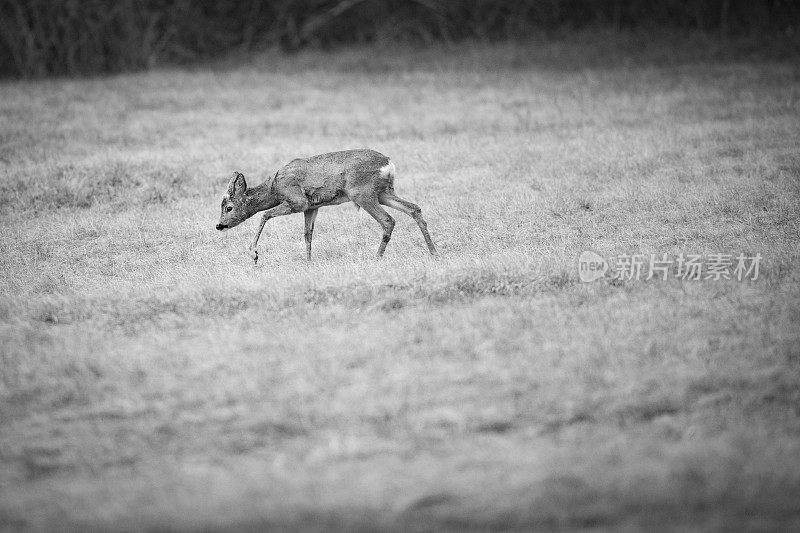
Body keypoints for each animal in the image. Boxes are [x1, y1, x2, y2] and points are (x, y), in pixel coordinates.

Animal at [214, 149, 438, 262]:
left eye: (228, 208)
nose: (219, 225)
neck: (274, 188)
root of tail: (389, 164)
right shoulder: (312, 207)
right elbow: (308, 233)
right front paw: (308, 262)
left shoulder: (297, 201)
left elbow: (264, 215)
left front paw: (253, 254)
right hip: (383, 192)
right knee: (414, 208)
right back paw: (433, 253)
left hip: (361, 193)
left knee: (388, 220)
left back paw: (377, 257)